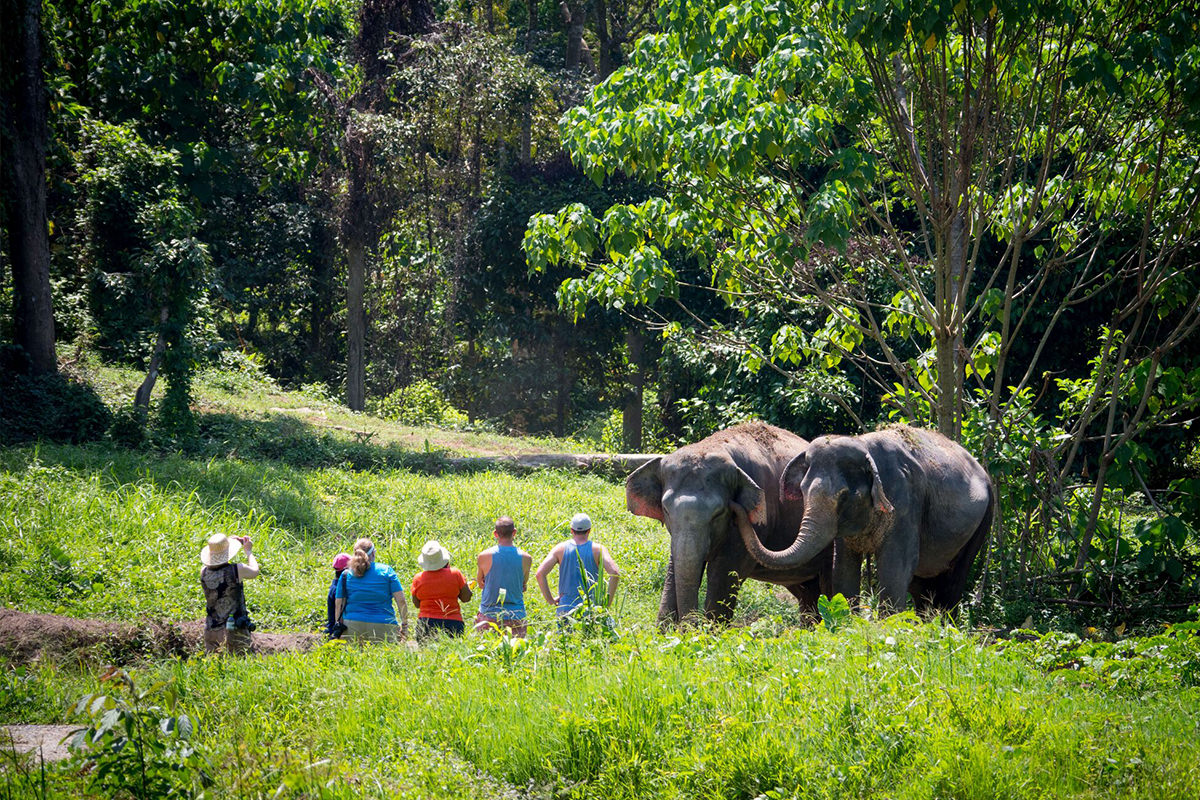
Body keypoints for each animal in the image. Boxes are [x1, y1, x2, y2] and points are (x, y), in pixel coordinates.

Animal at [624, 419, 830, 623]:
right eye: (666, 510)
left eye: (718, 513)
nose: (691, 624)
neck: (713, 445)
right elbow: (675, 569)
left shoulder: (752, 523)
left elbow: (723, 576)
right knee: (807, 593)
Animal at [729, 424, 993, 614]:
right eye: (802, 490)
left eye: (844, 495)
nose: (736, 504)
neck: (863, 444)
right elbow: (843, 568)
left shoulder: (905, 501)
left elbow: (895, 566)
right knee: (923, 585)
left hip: (983, 521)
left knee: (953, 582)